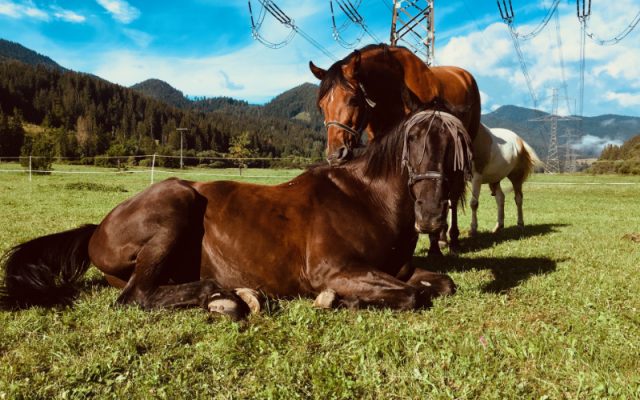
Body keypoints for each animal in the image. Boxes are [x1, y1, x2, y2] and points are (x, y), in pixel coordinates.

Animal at [0, 108, 470, 318]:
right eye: (413, 143)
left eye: (452, 149)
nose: (430, 216)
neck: (365, 200)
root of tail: (98, 228)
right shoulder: (335, 270)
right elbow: (412, 295)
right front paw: (340, 301)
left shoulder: (397, 269)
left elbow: (441, 285)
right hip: (175, 206)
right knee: (136, 297)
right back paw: (225, 297)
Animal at [310, 44, 480, 253]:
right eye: (322, 105)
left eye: (353, 100)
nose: (335, 155)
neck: (392, 88)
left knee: (453, 196)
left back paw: (452, 238)